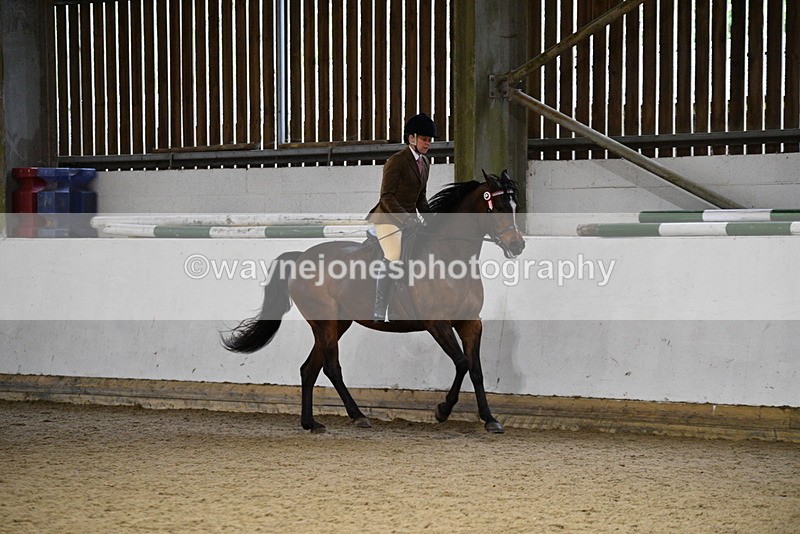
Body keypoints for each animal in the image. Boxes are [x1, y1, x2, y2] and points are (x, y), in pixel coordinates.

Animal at [222, 170, 526, 433]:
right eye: (499, 206)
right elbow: (462, 363)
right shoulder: (437, 323)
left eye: (515, 205)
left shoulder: (470, 323)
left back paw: (311, 423)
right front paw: (442, 410)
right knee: (331, 368)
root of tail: (299, 258)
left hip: (336, 324)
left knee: (309, 369)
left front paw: (490, 419)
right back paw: (357, 416)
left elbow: (476, 370)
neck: (450, 256)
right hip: (325, 323)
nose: (518, 245)